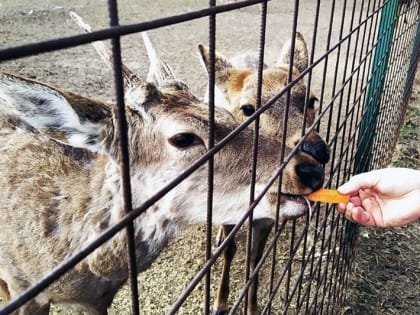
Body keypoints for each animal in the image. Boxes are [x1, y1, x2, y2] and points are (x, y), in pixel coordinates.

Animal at [195, 30, 330, 314]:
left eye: (312, 100)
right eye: (248, 108)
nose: (317, 151)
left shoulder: (269, 216)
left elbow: (254, 260)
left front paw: (253, 307)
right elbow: (230, 250)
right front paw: (220, 303)